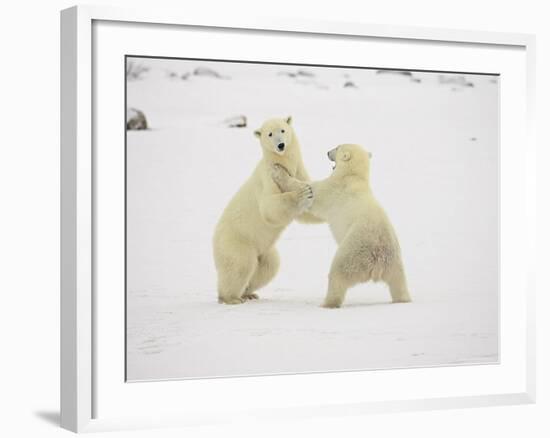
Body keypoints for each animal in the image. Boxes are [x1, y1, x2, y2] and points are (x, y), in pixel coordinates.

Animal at [212, 116, 324, 304]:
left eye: (283, 130)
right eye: (269, 134)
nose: (281, 145)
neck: (281, 162)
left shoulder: (299, 171)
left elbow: (306, 213)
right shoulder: (267, 176)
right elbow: (269, 207)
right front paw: (302, 193)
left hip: (263, 249)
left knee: (269, 265)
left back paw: (248, 293)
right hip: (237, 240)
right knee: (241, 264)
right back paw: (231, 298)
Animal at [274, 144, 412, 308]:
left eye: (337, 147)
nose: (327, 152)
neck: (353, 177)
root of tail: (378, 261)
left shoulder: (332, 189)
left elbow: (311, 192)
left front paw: (278, 170)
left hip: (353, 252)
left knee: (338, 273)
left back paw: (327, 303)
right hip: (395, 263)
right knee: (398, 282)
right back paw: (403, 299)